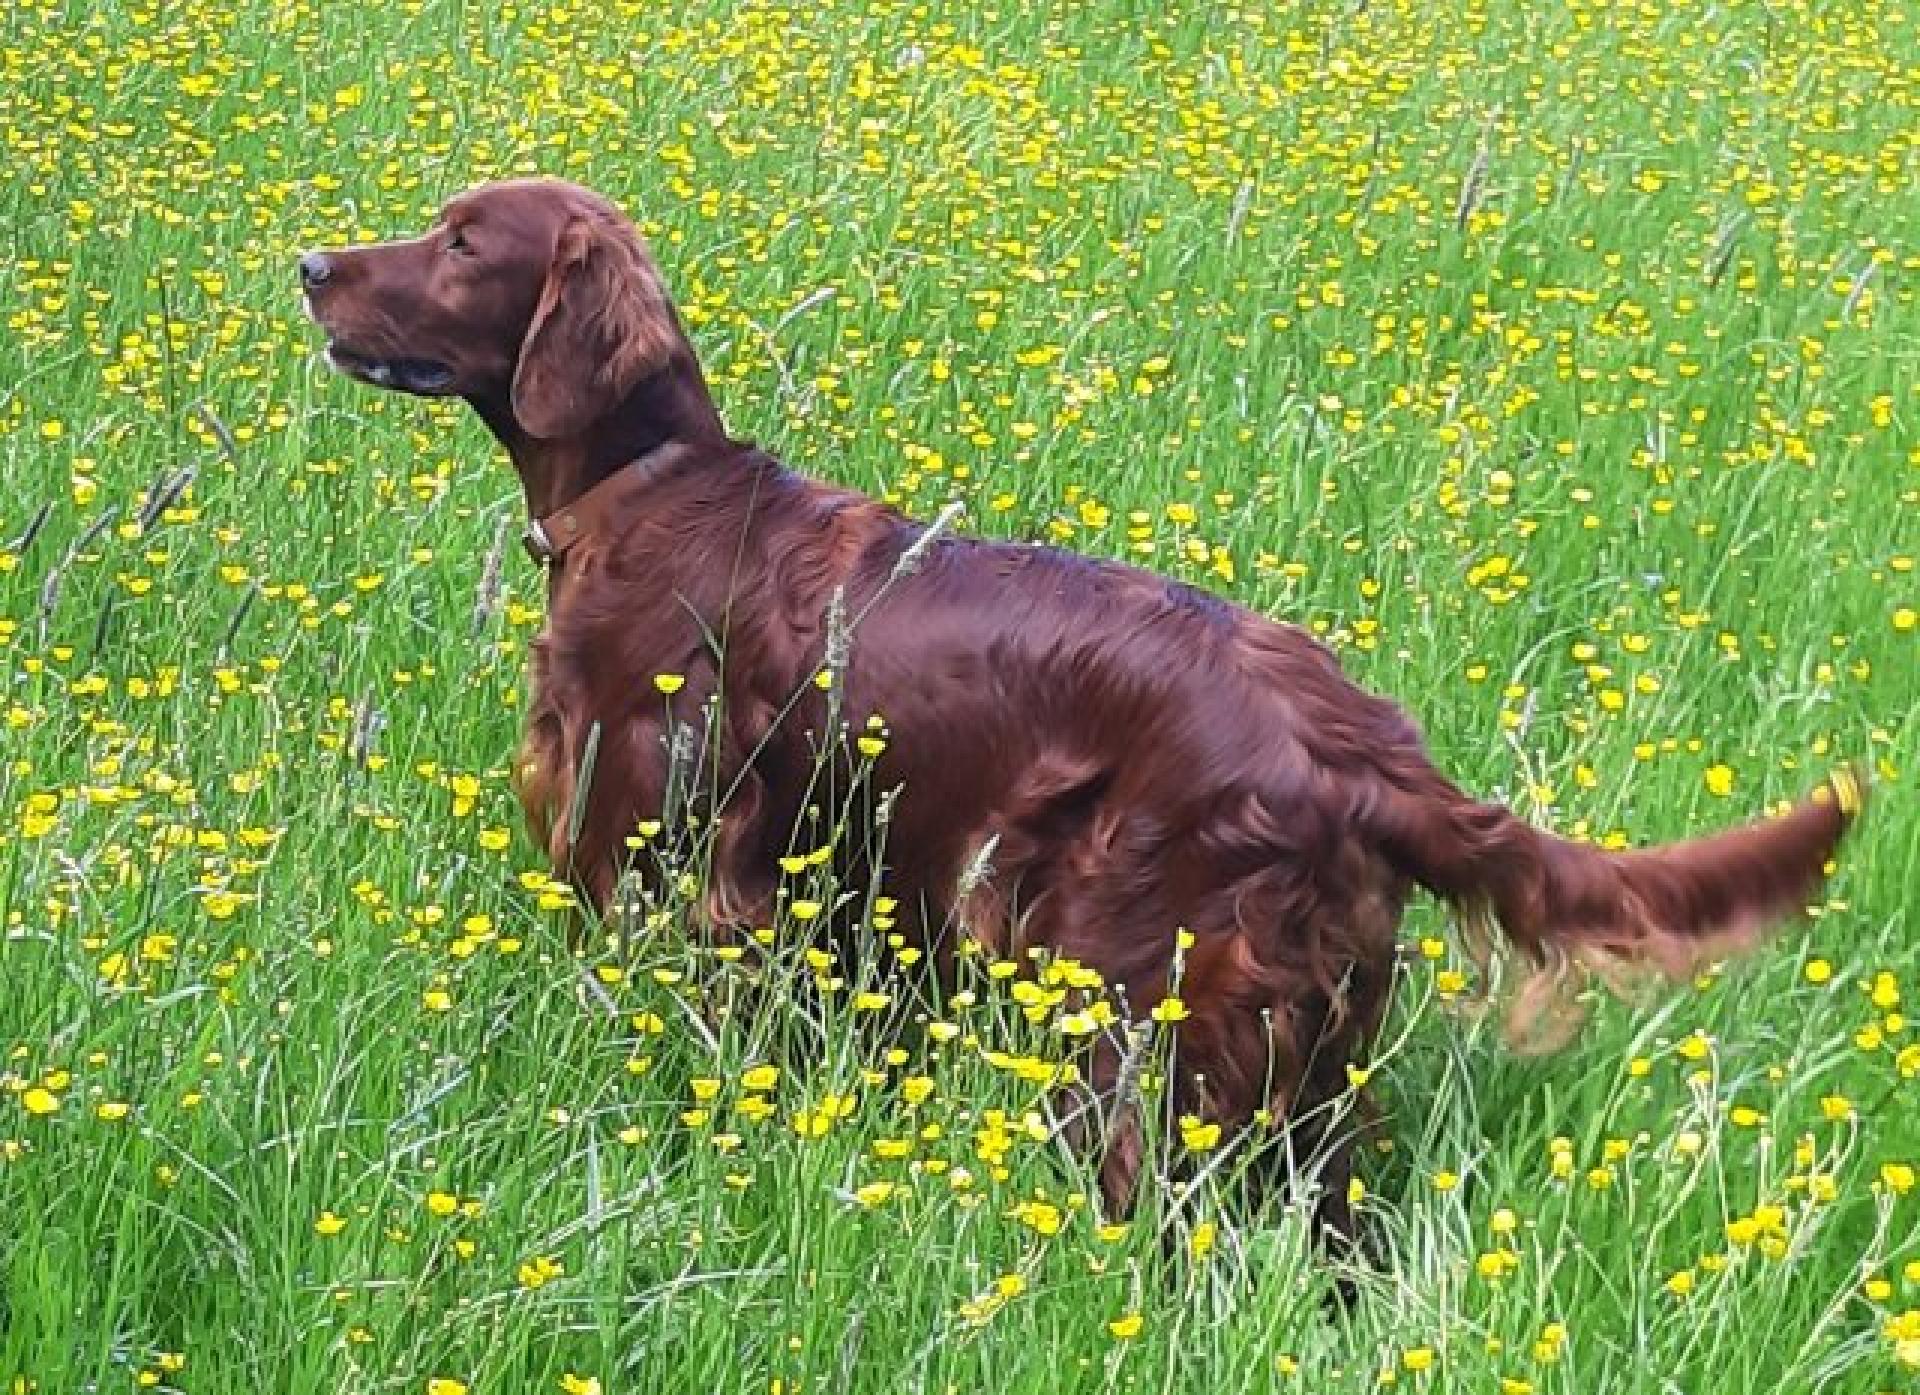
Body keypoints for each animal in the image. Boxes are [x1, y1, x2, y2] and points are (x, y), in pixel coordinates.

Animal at [299, 180, 1858, 1235]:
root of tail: (1352, 736)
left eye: (462, 244)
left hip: (1136, 1008)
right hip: (1295, 1055)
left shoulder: (658, 856)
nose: (311, 263)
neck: (647, 487)